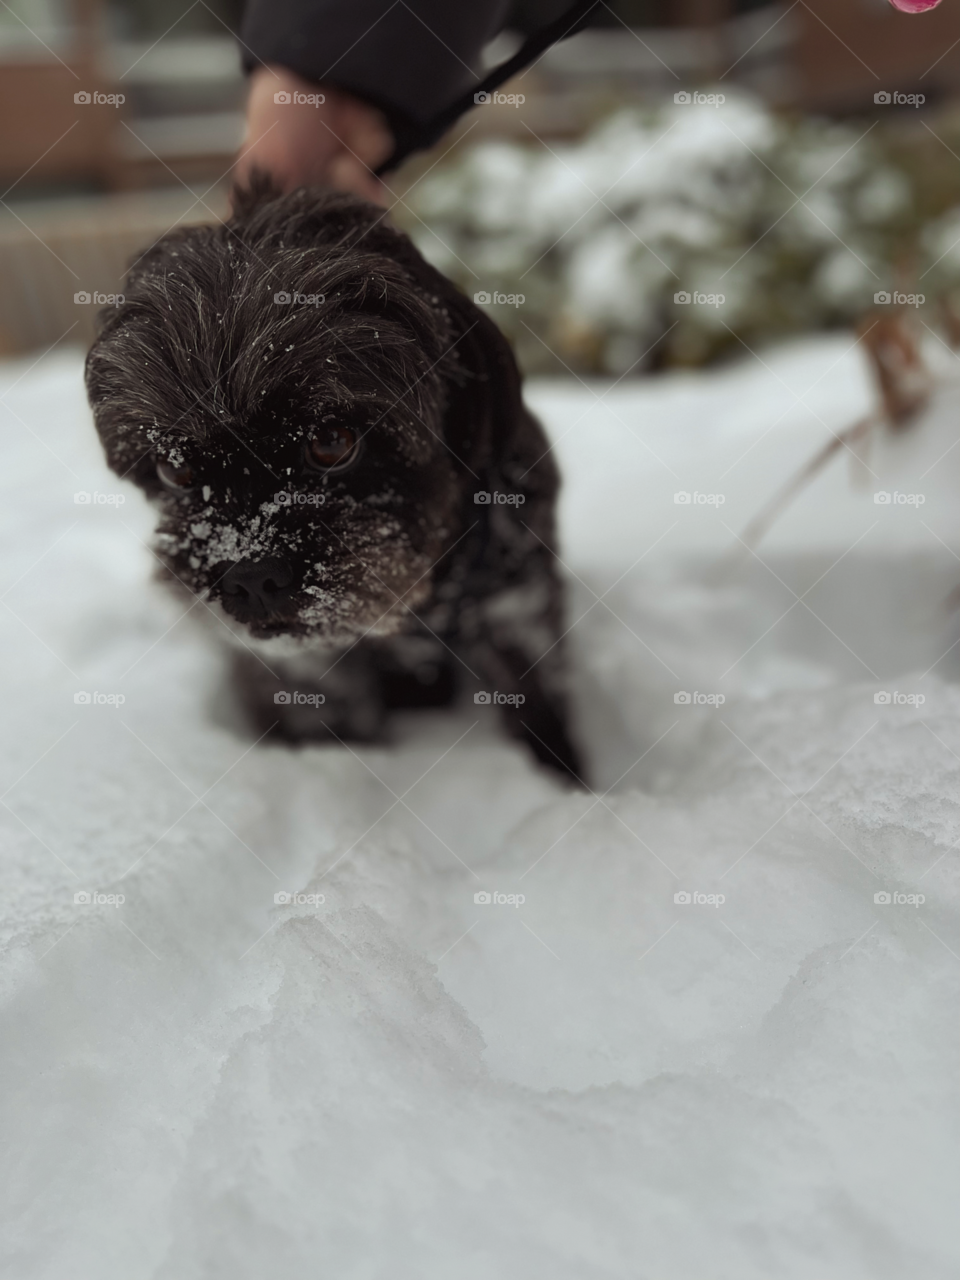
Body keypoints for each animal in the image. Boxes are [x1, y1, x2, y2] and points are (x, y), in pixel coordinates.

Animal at [86, 181, 583, 778]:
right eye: (174, 467)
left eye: (332, 441)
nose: (250, 577)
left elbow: (541, 711)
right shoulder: (305, 674)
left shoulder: (519, 609)